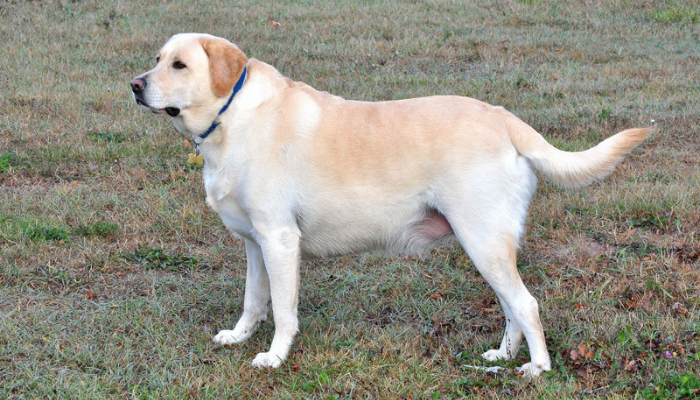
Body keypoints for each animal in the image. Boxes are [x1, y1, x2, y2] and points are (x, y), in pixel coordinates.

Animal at [133, 33, 652, 376]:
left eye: (179, 65)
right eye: (157, 59)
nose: (135, 85)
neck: (231, 117)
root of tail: (503, 117)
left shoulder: (279, 240)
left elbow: (282, 309)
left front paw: (274, 357)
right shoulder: (255, 243)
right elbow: (253, 300)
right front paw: (239, 337)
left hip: (482, 239)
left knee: (526, 303)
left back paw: (536, 369)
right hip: (486, 245)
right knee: (512, 306)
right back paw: (503, 356)